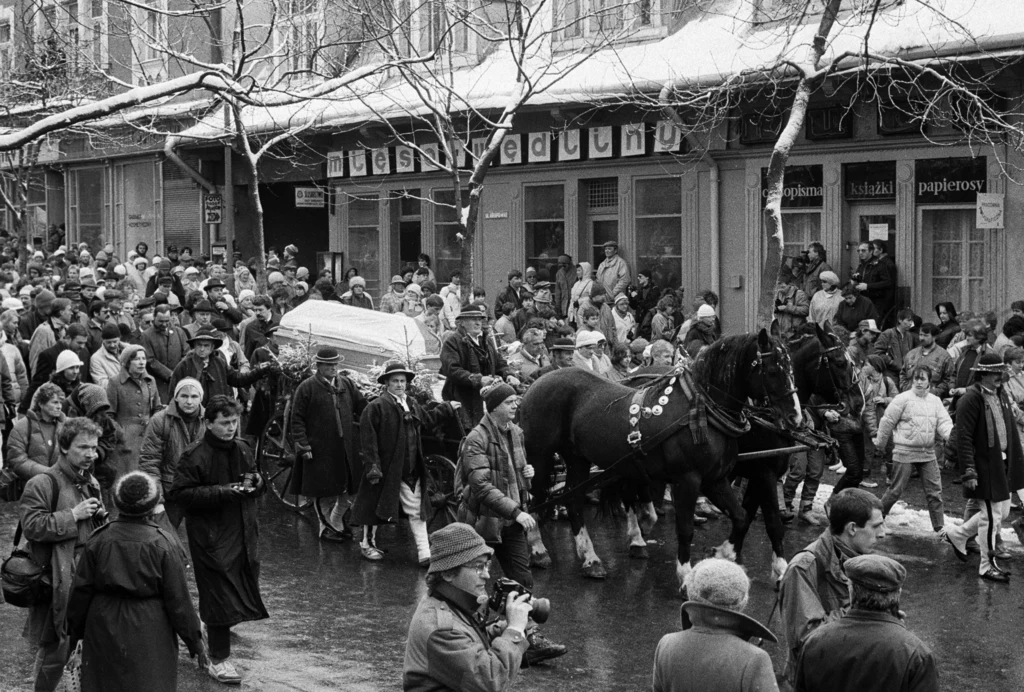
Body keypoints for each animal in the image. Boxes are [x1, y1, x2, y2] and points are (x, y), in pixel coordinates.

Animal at [524, 329, 802, 589]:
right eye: (773, 370)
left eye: (792, 368)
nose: (795, 417)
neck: (702, 409)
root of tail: (538, 382)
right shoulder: (689, 479)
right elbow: (686, 528)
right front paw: (686, 574)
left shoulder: (716, 479)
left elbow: (742, 517)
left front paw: (725, 555)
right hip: (539, 457)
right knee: (533, 499)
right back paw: (538, 550)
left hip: (580, 459)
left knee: (573, 499)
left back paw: (591, 558)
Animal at [729, 323, 856, 585]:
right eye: (840, 362)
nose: (857, 401)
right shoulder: (764, 474)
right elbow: (772, 523)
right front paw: (780, 569)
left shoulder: (759, 474)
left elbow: (745, 517)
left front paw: (729, 556)